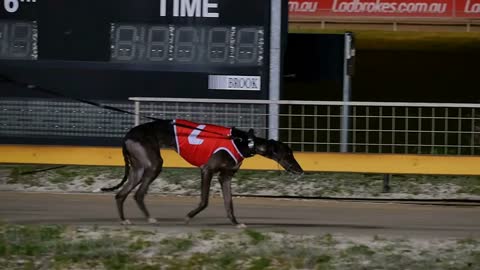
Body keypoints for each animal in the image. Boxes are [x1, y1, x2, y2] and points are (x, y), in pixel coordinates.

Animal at [101, 119, 304, 227]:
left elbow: (229, 204)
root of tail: (127, 135)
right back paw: (149, 218)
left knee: (121, 194)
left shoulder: (225, 177)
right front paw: (188, 217)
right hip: (153, 164)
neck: (245, 142)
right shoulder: (207, 170)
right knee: (138, 194)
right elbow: (205, 201)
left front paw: (236, 223)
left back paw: (124, 220)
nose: (301, 171)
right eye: (288, 154)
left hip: (139, 167)